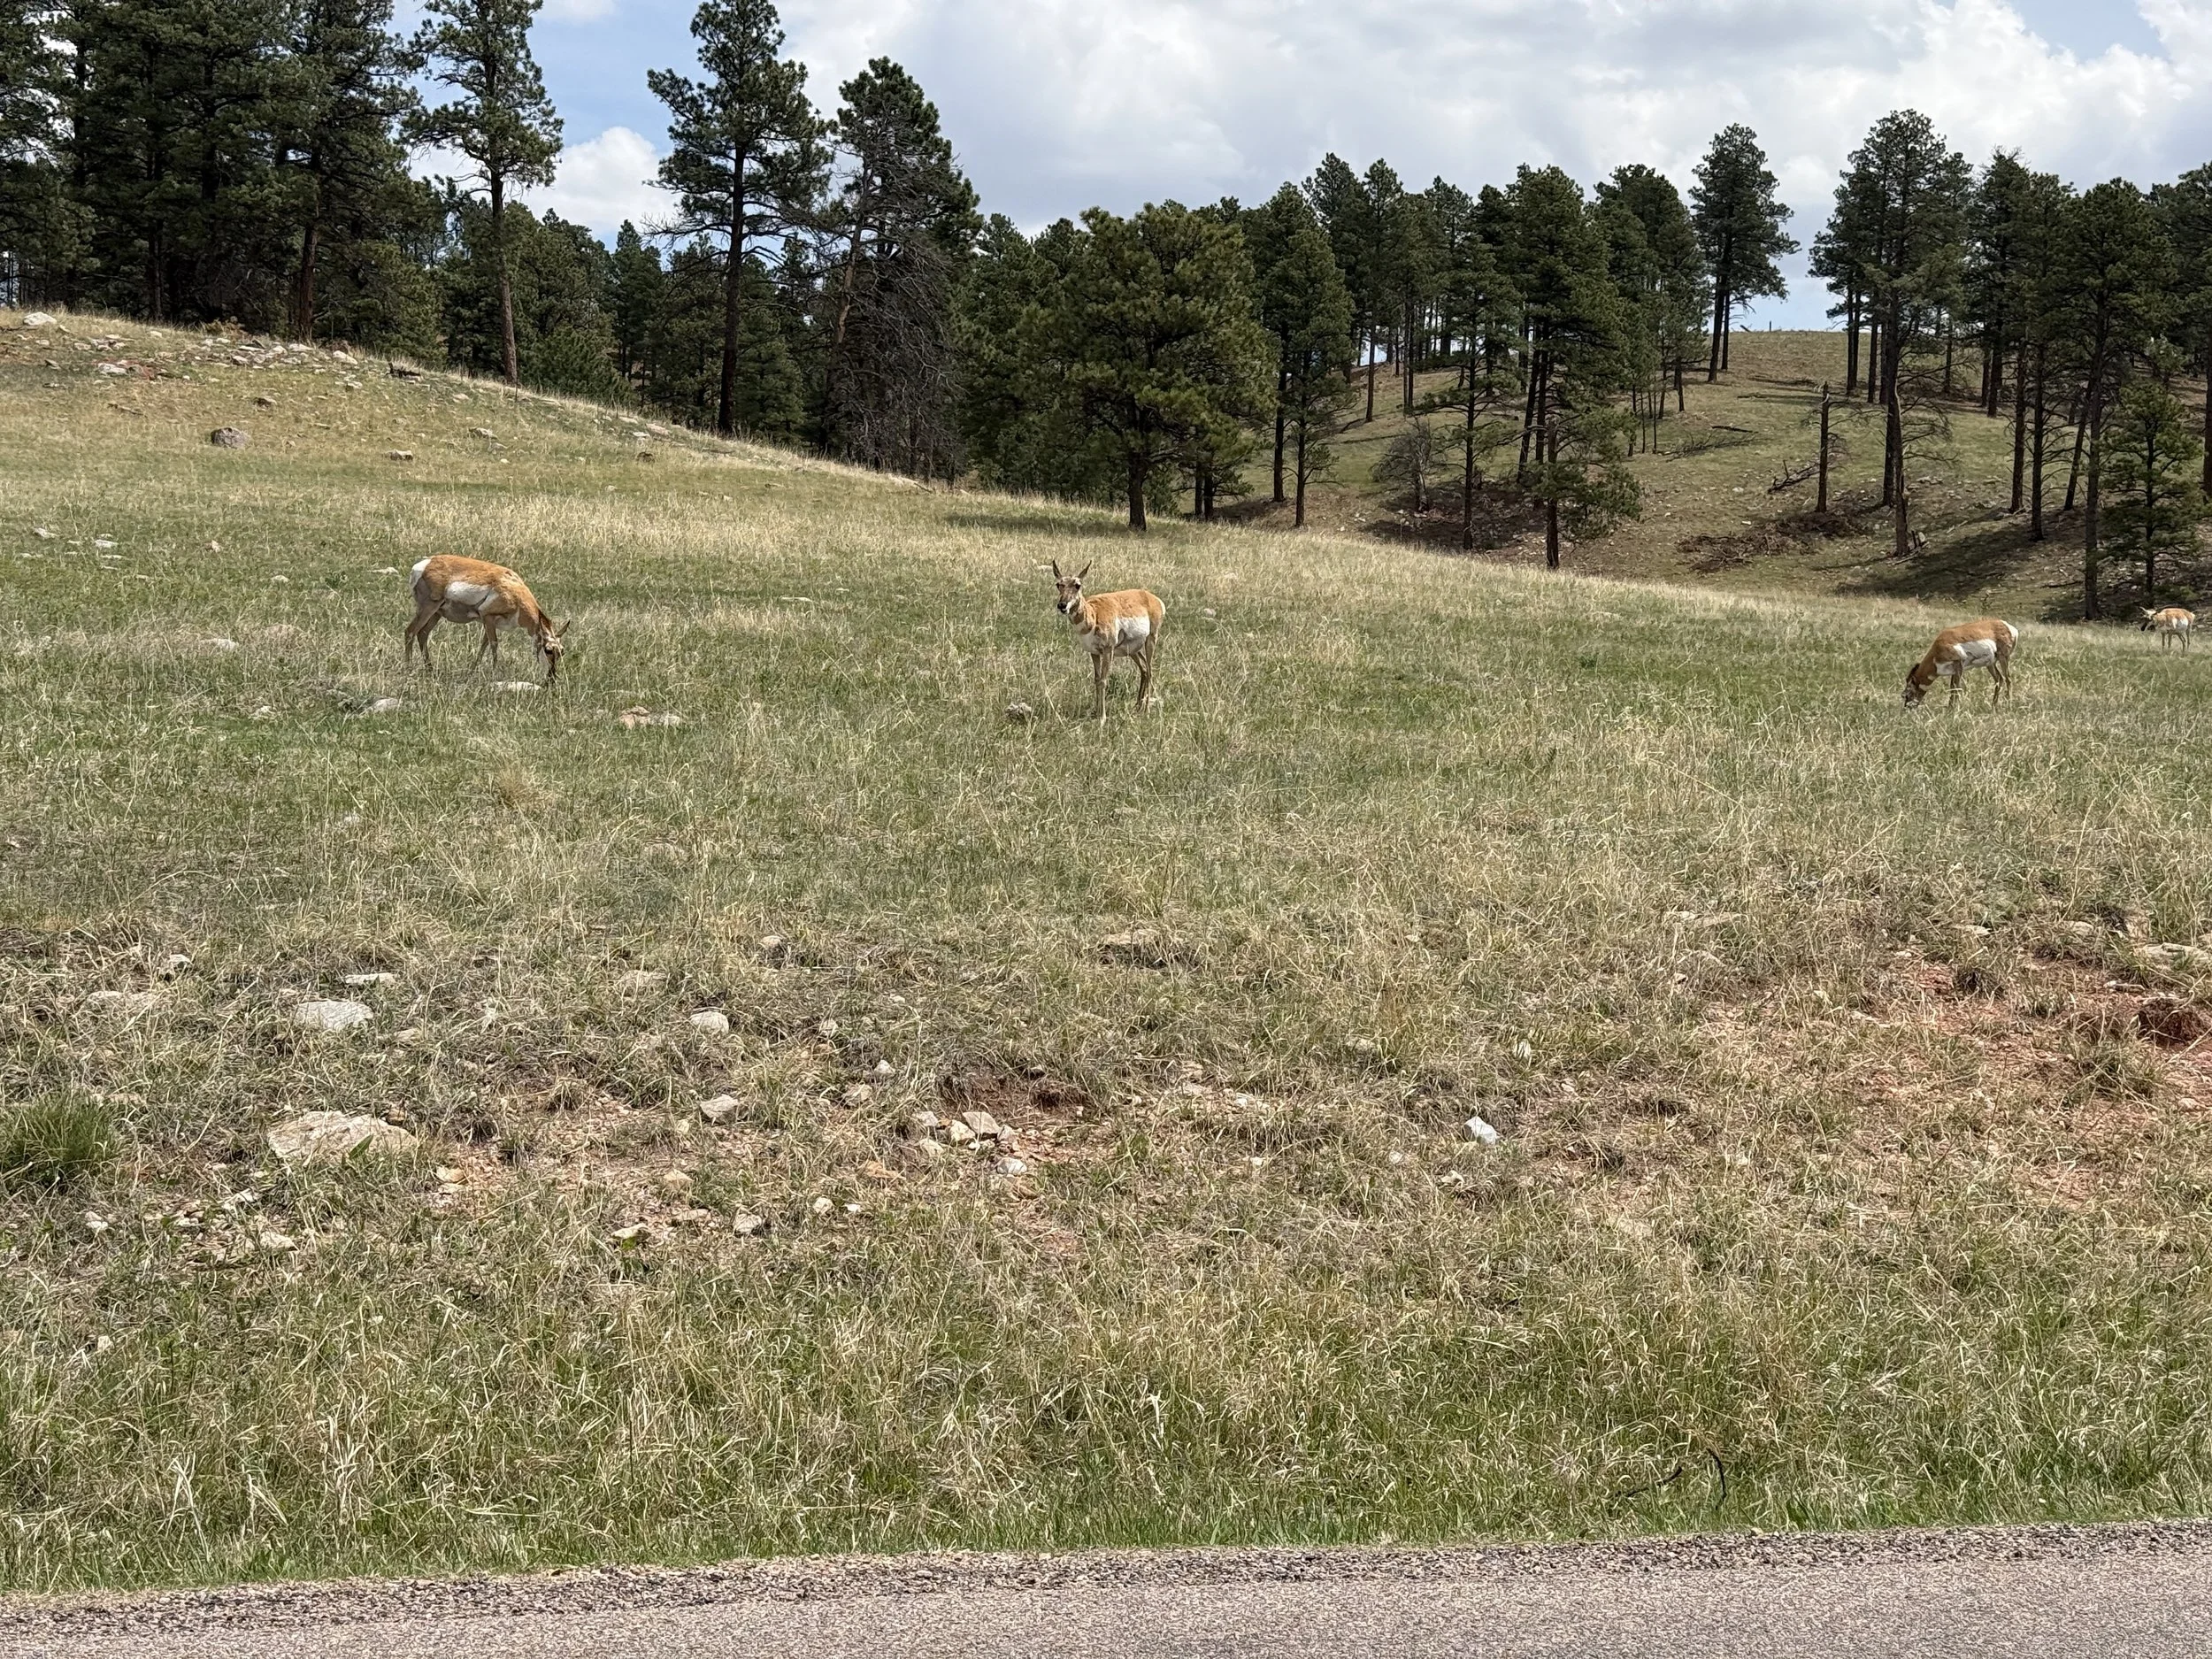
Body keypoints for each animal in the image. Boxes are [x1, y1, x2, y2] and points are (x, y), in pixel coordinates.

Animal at [405, 555, 567, 684]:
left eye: (562, 651)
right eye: (548, 650)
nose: (552, 678)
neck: (516, 591)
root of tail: (425, 564)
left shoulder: (489, 623)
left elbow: (484, 644)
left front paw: (472, 671)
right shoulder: (487, 616)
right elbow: (494, 643)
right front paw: (495, 672)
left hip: (436, 613)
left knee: (422, 634)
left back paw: (430, 670)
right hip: (429, 608)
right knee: (410, 631)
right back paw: (408, 669)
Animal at [1052, 561, 1165, 721]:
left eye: (1077, 585)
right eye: (1058, 584)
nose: (1062, 605)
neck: (1094, 614)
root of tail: (1153, 598)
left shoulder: (1108, 650)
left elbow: (1104, 680)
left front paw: (1103, 717)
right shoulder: (1094, 653)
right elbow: (1097, 679)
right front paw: (1097, 712)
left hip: (1151, 640)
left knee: (1149, 671)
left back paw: (1147, 710)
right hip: (1132, 650)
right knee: (1143, 669)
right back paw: (1138, 707)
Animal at [1903, 618, 2019, 709]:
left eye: (1907, 693)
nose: (1906, 709)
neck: (1937, 652)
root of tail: (2009, 626)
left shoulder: (1958, 664)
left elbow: (1956, 687)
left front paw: (1955, 709)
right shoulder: (1954, 670)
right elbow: (1952, 687)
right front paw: (1950, 707)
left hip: (2003, 658)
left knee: (2008, 679)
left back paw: (2008, 705)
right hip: (1990, 663)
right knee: (1999, 679)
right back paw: (1993, 705)